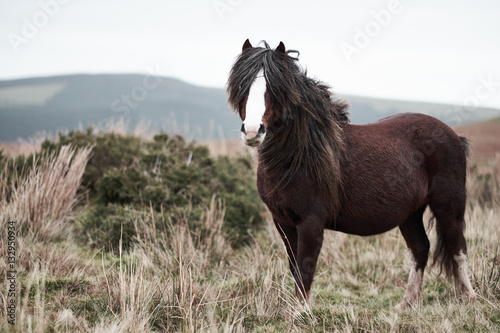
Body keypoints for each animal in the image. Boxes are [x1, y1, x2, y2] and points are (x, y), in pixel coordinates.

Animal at [227, 39, 476, 308]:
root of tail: (453, 135)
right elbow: (294, 268)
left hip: (448, 206)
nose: (253, 132)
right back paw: (407, 303)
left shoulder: (311, 222)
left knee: (457, 247)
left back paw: (468, 297)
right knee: (420, 248)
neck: (299, 156)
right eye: (242, 87)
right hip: (410, 213)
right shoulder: (283, 222)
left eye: (275, 89)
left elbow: (305, 268)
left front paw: (302, 312)